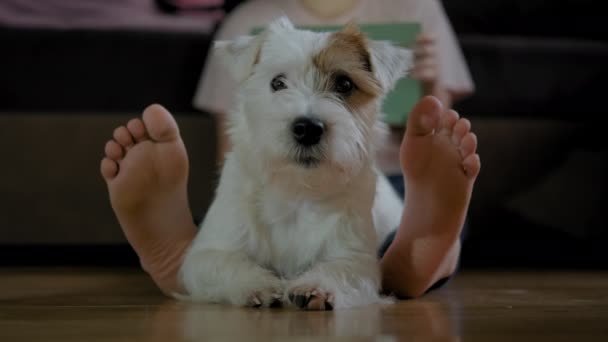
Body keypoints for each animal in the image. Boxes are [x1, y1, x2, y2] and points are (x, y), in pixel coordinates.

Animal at [178, 16, 410, 310]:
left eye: (344, 84)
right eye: (277, 83)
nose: (308, 129)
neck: (297, 190)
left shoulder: (355, 258)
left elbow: (338, 269)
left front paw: (316, 286)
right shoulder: (208, 252)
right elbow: (227, 262)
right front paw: (258, 284)